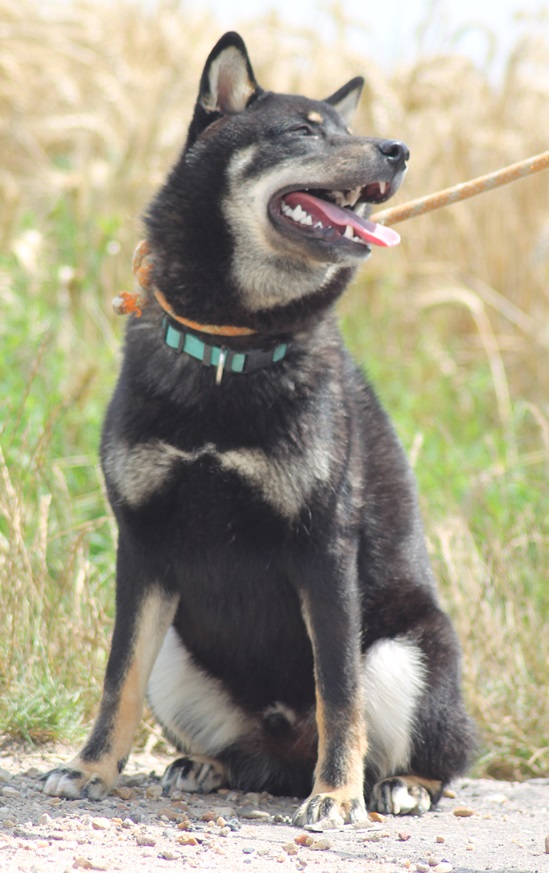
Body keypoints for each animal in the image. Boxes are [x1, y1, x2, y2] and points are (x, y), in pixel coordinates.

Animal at [40, 30, 474, 820]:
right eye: (304, 130)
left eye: (346, 129)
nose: (397, 150)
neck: (231, 347)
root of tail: (286, 749)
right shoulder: (143, 546)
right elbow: (116, 678)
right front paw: (91, 768)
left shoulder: (323, 550)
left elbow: (338, 691)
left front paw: (335, 793)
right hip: (178, 660)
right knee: (242, 756)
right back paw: (207, 764)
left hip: (406, 652)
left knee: (438, 752)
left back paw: (396, 784)